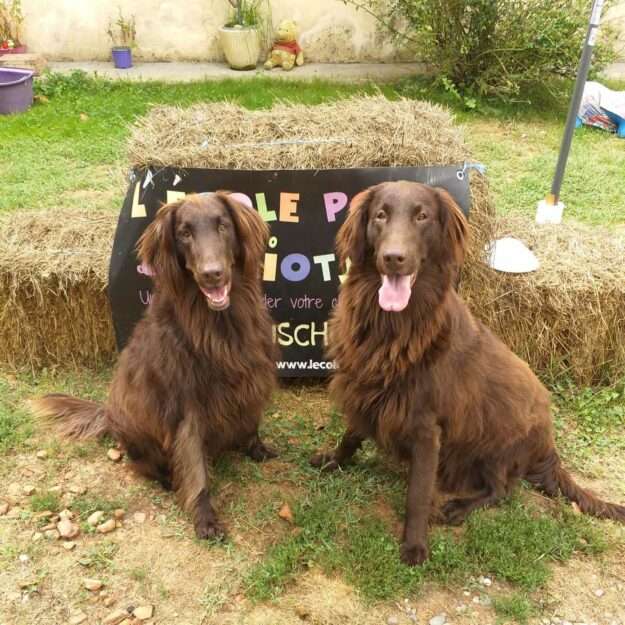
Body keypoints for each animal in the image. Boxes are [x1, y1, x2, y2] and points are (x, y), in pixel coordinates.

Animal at [33, 193, 276, 540]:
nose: (212, 273)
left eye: (223, 225)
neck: (217, 323)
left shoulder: (251, 373)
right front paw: (205, 518)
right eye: (184, 233)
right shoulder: (187, 407)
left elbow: (251, 418)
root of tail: (107, 414)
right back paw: (167, 478)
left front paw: (256, 448)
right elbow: (195, 468)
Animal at [312, 180, 624, 564]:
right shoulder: (367, 387)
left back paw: (459, 507)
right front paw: (334, 459)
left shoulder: (425, 427)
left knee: (502, 489)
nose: (394, 258)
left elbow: (418, 494)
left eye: (422, 216)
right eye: (380, 215)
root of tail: (549, 446)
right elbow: (351, 434)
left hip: (497, 439)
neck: (394, 326)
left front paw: (414, 545)